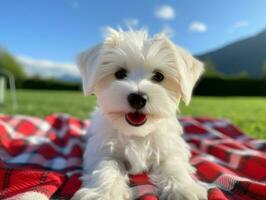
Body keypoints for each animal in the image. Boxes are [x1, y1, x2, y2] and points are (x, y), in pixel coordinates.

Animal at [71, 28, 208, 200]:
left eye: (159, 76)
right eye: (120, 74)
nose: (137, 98)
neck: (137, 134)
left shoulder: (170, 147)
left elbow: (173, 165)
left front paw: (183, 189)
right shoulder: (102, 150)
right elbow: (106, 167)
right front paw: (103, 193)